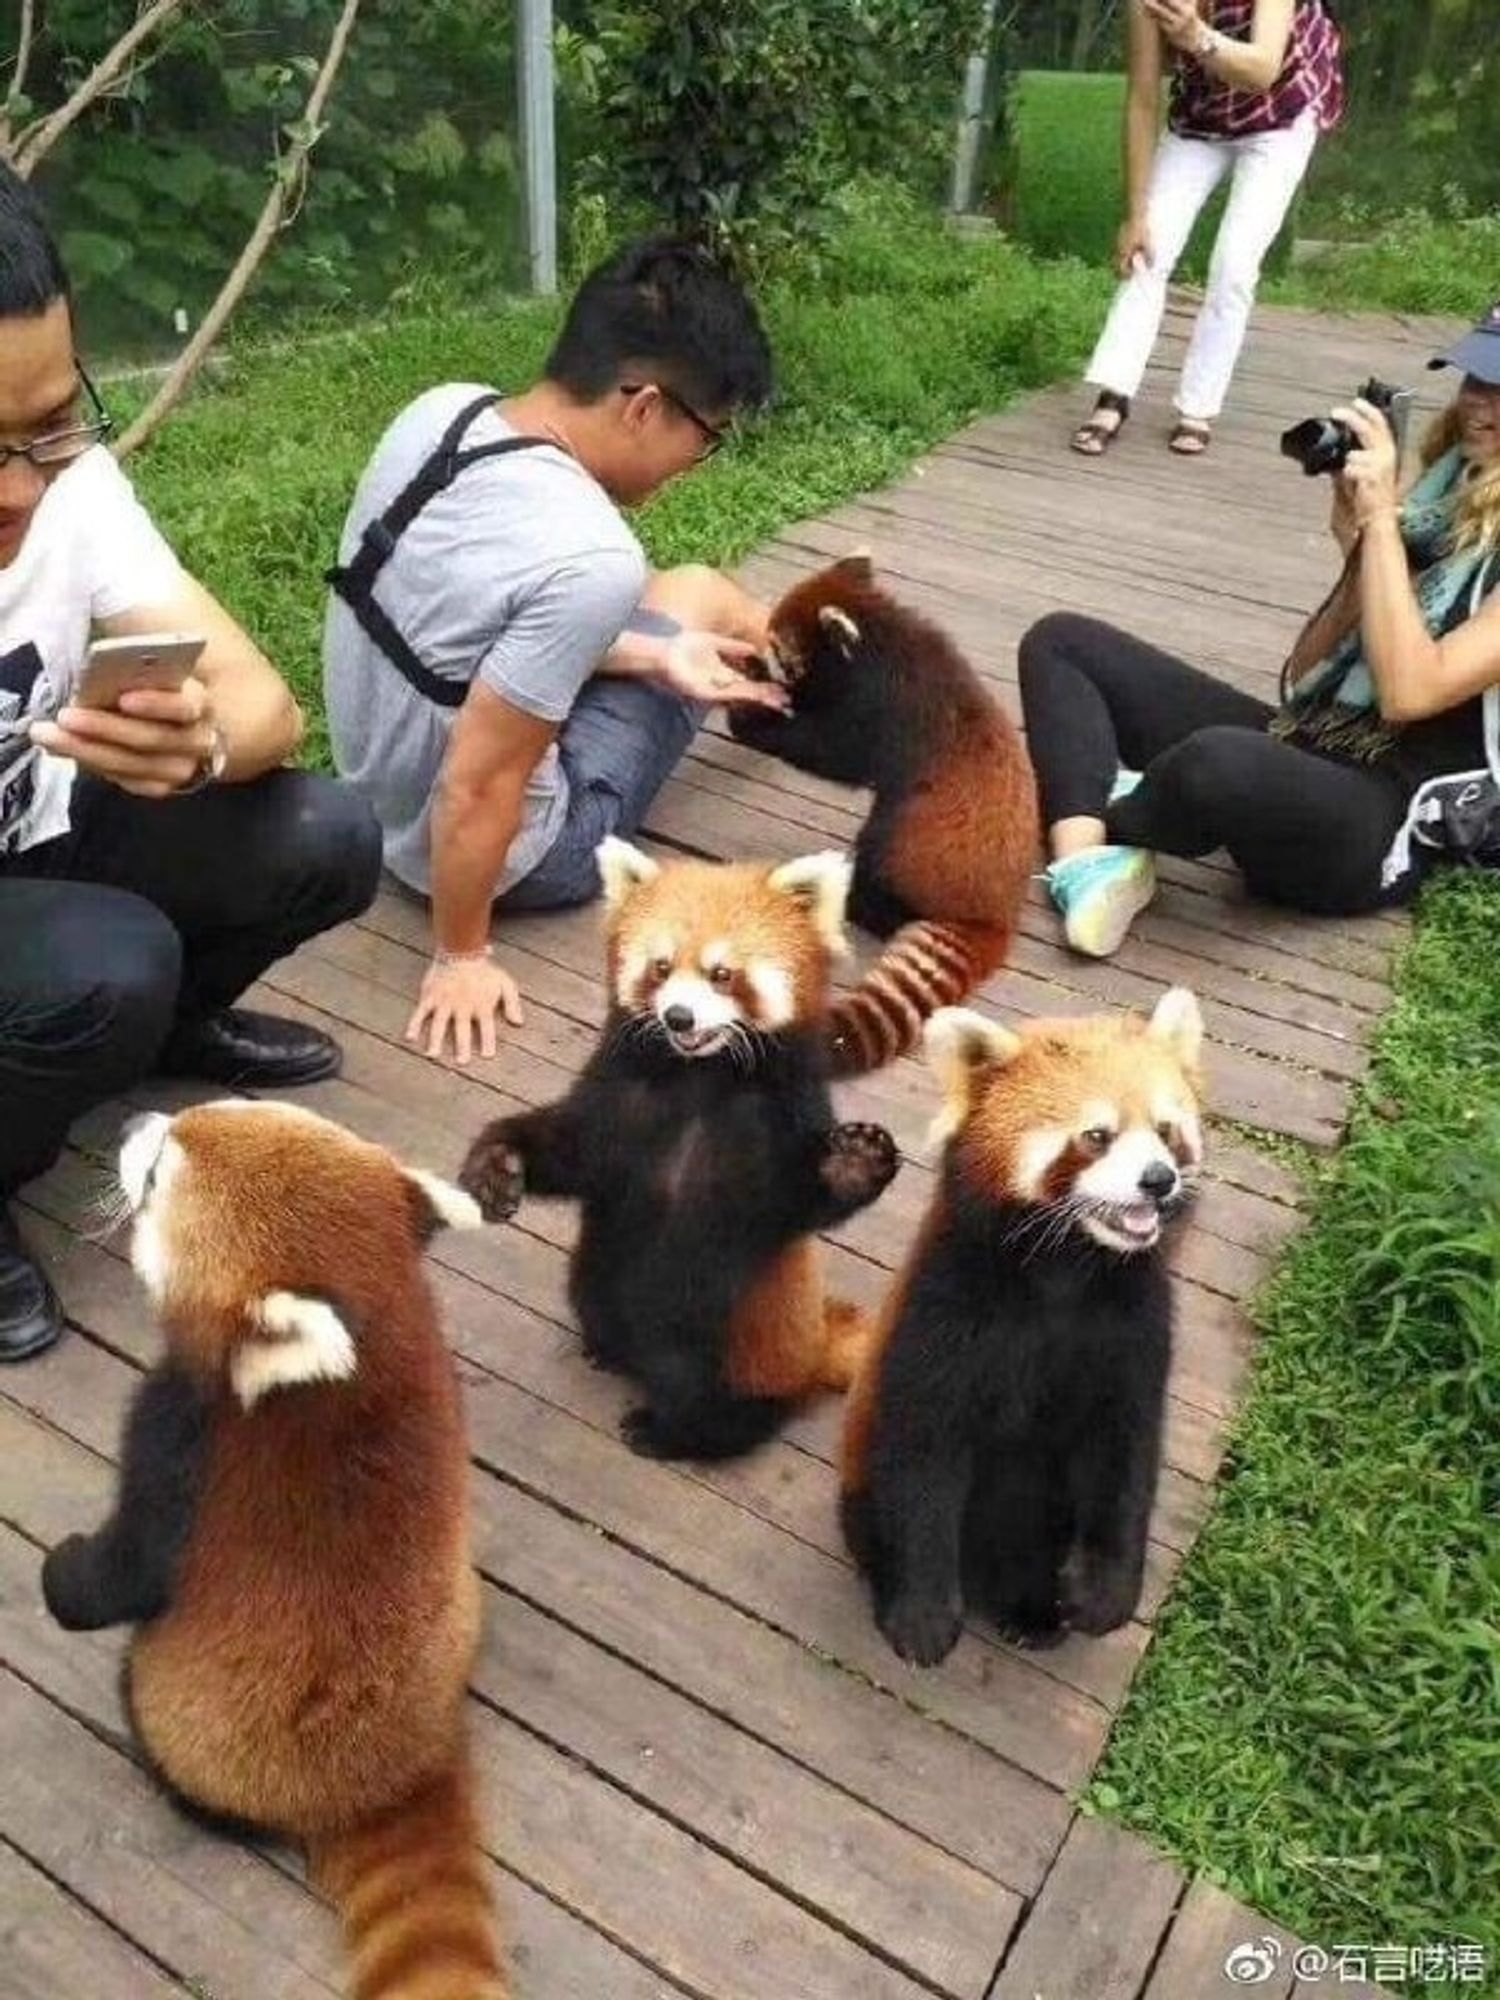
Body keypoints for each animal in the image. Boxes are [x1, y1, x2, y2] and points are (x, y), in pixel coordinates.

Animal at [42, 1104, 512, 2000]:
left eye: (157, 1168)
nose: (137, 1118)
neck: (371, 1343)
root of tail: (403, 1769)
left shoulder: (185, 1442)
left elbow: (132, 1569)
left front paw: (63, 1576)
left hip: (194, 1726)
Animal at [464, 836, 900, 1464]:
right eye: (661, 967)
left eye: (723, 974)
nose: (678, 1016)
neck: (700, 1077)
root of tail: (813, 1348)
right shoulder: (619, 1099)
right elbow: (572, 1151)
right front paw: (497, 1165)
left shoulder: (777, 1120)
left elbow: (795, 1200)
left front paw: (855, 1161)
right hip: (594, 1270)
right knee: (594, 1299)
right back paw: (607, 1350)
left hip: (735, 1338)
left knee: (715, 1398)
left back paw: (671, 1430)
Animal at [732, 548, 1040, 1080]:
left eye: (778, 643)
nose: (762, 656)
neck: (888, 646)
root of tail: (994, 913)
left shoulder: (883, 714)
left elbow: (832, 753)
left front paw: (751, 719)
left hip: (906, 842)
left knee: (878, 853)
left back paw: (856, 898)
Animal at [848, 992, 1208, 1664]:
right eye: (1096, 1136)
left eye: (1167, 1130)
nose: (1159, 1179)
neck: (1064, 1271)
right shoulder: (943, 1313)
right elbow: (921, 1459)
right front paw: (920, 1617)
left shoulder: (1137, 1330)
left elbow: (1125, 1461)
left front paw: (1103, 1596)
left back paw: (1031, 1609)